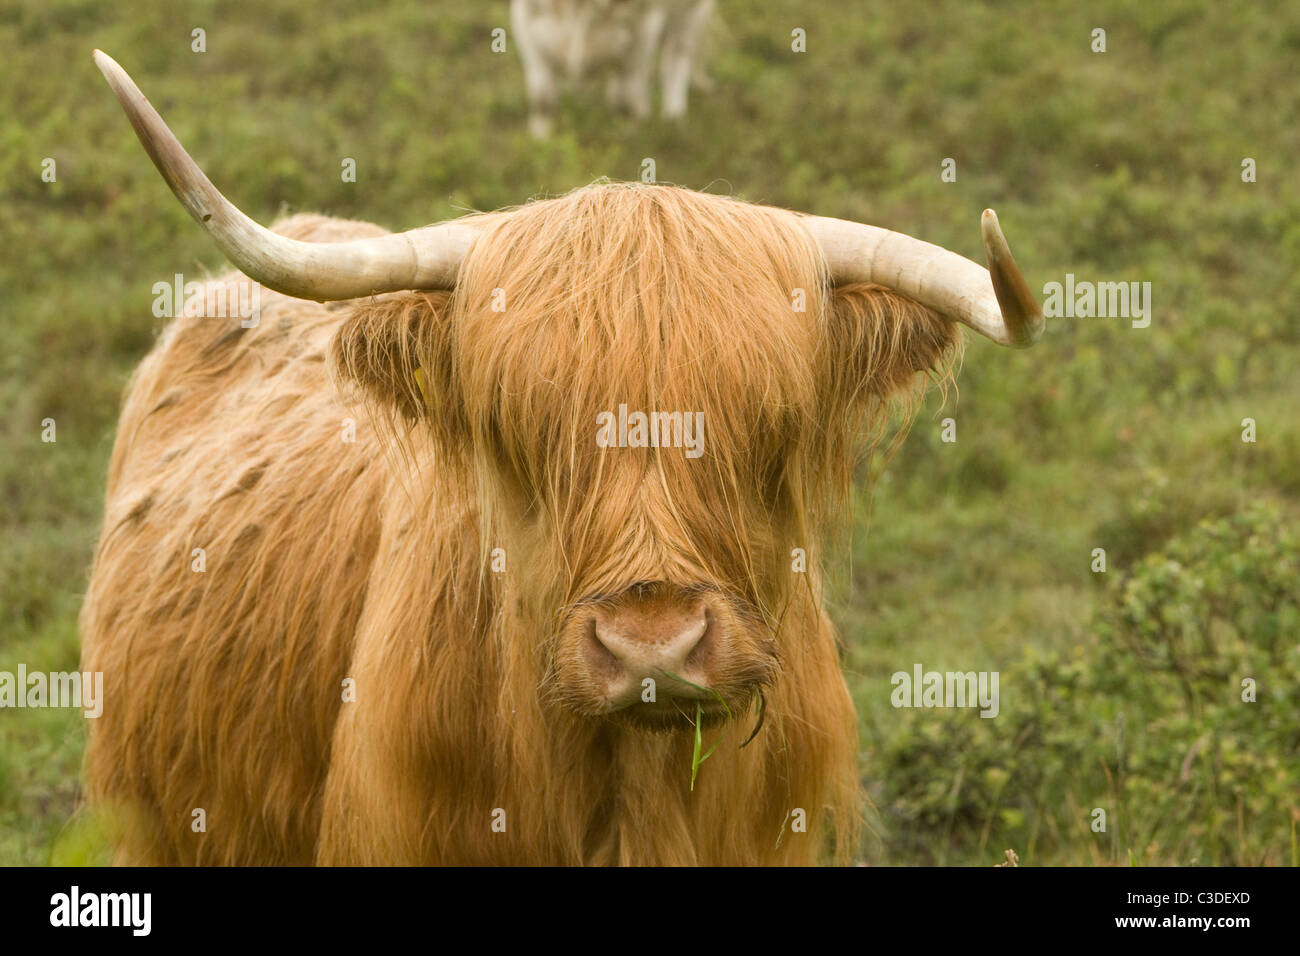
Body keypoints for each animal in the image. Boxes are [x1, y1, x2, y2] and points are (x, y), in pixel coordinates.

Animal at [510, 0, 714, 136]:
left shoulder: (645, 26)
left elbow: (625, 96)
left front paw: (627, 133)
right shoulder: (527, 23)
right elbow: (542, 98)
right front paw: (540, 138)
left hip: (690, 14)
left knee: (677, 56)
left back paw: (673, 118)